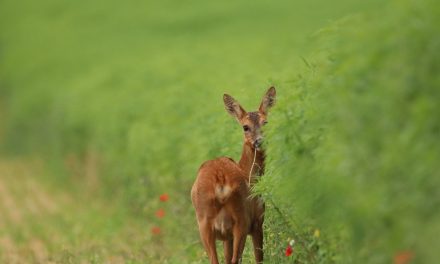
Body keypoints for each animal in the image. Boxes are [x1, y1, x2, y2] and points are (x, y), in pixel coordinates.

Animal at [191, 87, 276, 264]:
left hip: (204, 224)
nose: (259, 141)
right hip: (241, 220)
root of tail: (220, 179)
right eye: (245, 127)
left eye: (266, 122)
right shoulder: (258, 221)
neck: (250, 175)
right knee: (235, 260)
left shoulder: (226, 237)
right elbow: (259, 258)